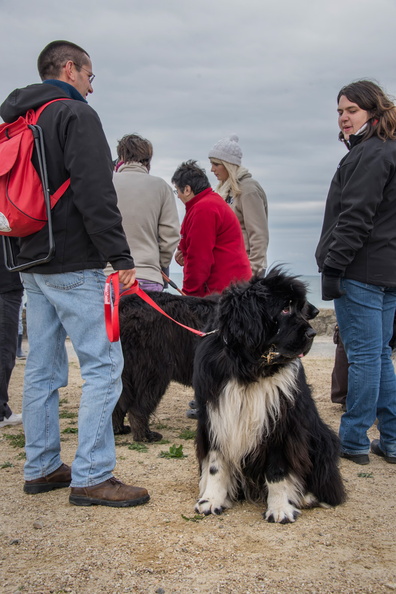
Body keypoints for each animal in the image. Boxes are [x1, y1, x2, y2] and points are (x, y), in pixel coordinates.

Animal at [195, 268, 346, 524]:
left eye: (298, 307)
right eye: (285, 309)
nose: (312, 332)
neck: (250, 367)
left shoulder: (280, 423)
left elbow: (277, 471)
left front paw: (280, 508)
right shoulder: (215, 416)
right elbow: (216, 465)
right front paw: (211, 500)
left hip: (322, 437)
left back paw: (307, 496)